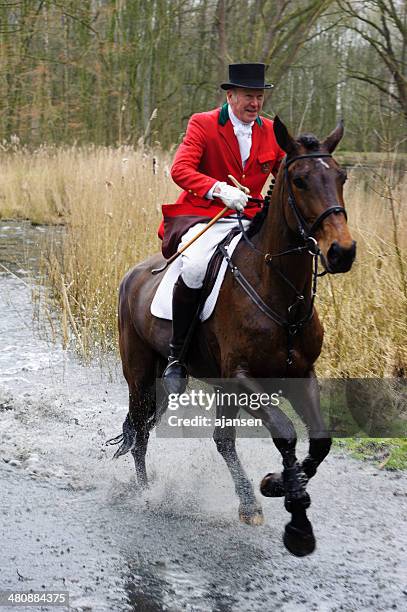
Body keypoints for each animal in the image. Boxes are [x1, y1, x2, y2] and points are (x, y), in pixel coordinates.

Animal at [113, 116, 356, 560]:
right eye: (299, 180)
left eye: (341, 176)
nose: (342, 252)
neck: (281, 293)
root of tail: (133, 274)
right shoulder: (244, 378)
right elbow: (285, 431)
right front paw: (297, 519)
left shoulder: (300, 376)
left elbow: (320, 442)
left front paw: (276, 485)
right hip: (141, 374)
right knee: (140, 433)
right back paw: (146, 492)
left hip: (212, 387)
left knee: (220, 440)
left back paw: (247, 502)